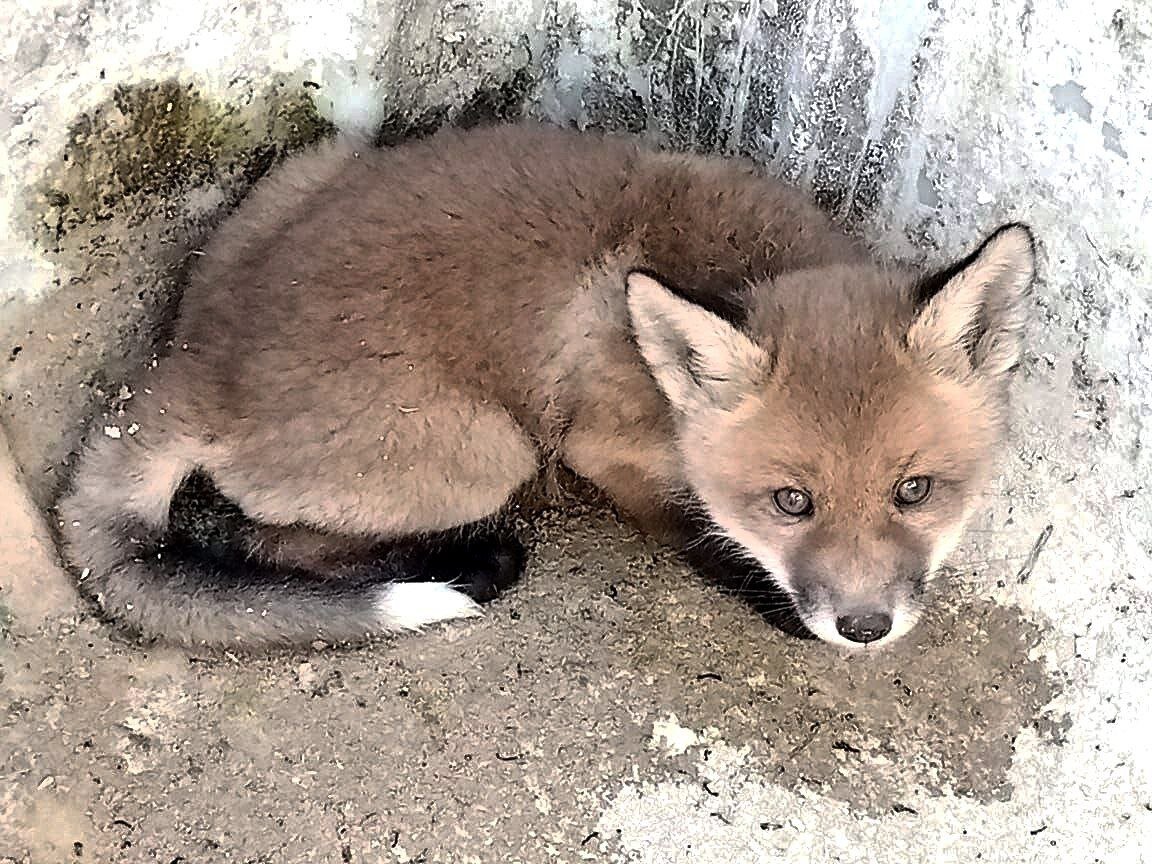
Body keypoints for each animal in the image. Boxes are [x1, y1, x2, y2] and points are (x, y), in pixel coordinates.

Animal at [56, 120, 1036, 649]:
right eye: (790, 502)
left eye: (915, 491)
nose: (865, 627)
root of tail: (190, 363)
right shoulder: (597, 447)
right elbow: (692, 533)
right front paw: (768, 599)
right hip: (486, 453)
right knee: (268, 543)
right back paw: (472, 564)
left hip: (316, 162)